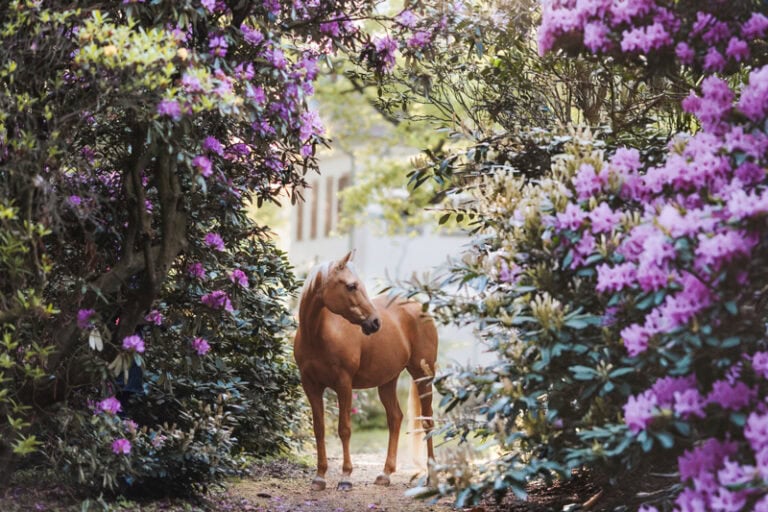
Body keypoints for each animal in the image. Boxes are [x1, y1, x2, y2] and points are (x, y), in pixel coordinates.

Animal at [294, 250, 438, 491]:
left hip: (423, 376)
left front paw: (345, 477)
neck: (318, 335)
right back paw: (385, 474)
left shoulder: (344, 384)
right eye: (351, 286)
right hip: (388, 381)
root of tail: (417, 307)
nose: (375, 322)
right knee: (395, 418)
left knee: (427, 422)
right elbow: (319, 429)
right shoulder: (311, 386)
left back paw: (432, 477)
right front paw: (320, 477)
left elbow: (344, 429)